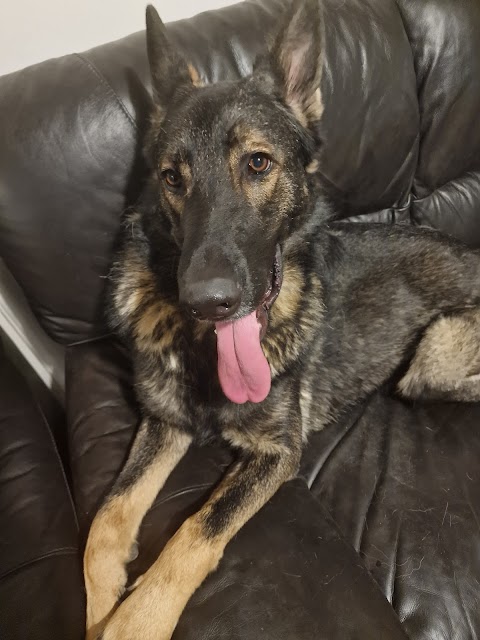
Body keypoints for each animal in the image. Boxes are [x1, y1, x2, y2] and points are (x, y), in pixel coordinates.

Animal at [84, 2, 480, 636]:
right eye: (171, 178)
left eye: (257, 164)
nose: (208, 301)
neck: (205, 350)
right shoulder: (164, 423)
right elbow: (106, 518)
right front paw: (101, 605)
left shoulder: (277, 454)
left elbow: (198, 530)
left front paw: (135, 619)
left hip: (433, 356)